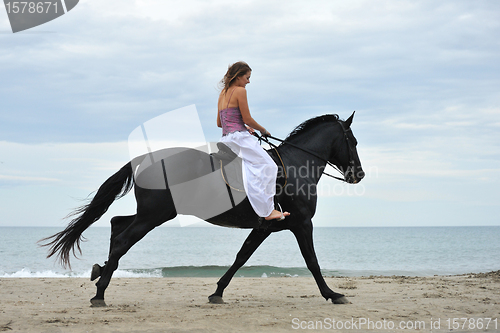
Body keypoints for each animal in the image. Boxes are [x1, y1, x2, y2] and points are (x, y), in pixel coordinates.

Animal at [42, 113, 364, 304]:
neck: (296, 165)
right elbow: (312, 261)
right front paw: (332, 294)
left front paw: (217, 292)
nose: (358, 175)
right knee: (123, 238)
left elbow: (241, 258)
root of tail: (144, 160)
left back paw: (101, 272)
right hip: (154, 216)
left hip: (150, 214)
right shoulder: (301, 224)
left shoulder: (265, 227)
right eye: (353, 141)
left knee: (117, 223)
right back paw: (100, 292)